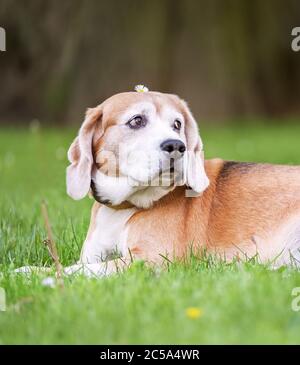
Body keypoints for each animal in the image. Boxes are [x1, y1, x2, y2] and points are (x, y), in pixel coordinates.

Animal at [62, 88, 300, 276]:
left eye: (177, 124)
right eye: (137, 120)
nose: (176, 145)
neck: (123, 208)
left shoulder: (152, 260)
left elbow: (73, 270)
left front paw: (51, 277)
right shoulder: (92, 256)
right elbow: (80, 265)